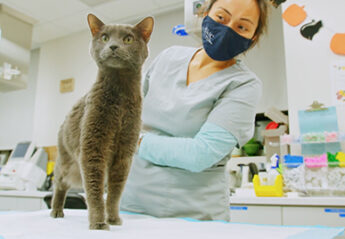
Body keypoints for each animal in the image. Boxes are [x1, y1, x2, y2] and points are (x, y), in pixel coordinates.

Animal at [49, 14, 153, 231]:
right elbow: (94, 190)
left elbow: (114, 193)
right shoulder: (93, 146)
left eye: (128, 39)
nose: (113, 46)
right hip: (66, 162)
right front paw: (98, 223)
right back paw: (56, 211)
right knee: (60, 184)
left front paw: (113, 218)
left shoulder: (124, 154)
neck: (121, 96)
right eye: (105, 37)